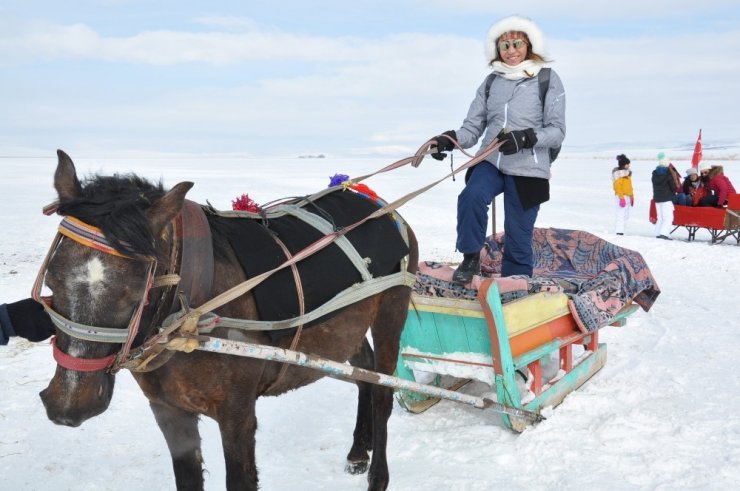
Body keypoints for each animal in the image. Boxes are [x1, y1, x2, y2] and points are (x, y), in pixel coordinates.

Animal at [39, 151, 416, 491]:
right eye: (51, 281)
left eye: (135, 294)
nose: (68, 405)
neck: (189, 317)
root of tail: (376, 201)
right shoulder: (168, 411)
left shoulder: (238, 416)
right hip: (346, 328)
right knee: (364, 373)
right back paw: (358, 451)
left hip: (390, 313)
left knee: (382, 391)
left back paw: (378, 476)